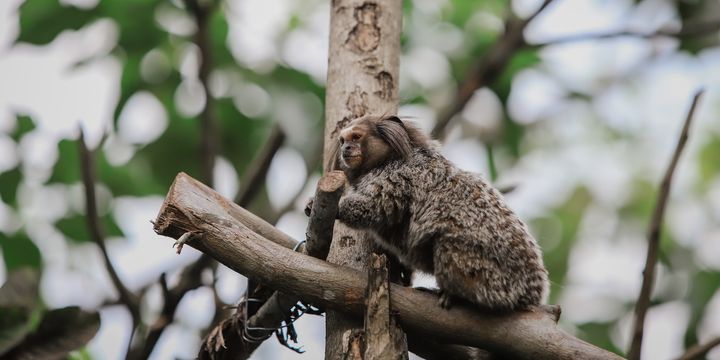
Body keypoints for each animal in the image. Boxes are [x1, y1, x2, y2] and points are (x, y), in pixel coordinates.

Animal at [330, 114, 548, 310]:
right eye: (343, 141)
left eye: (356, 137)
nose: (346, 149)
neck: (386, 160)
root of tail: (531, 292)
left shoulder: (396, 177)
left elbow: (372, 208)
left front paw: (336, 207)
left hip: (490, 277)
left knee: (446, 242)